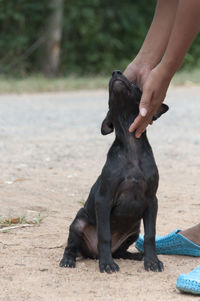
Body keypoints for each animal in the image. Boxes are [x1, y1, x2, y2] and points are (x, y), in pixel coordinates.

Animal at [60, 71, 168, 274]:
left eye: (136, 86)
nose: (116, 72)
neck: (131, 147)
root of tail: (92, 254)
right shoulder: (104, 199)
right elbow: (104, 235)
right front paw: (107, 264)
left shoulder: (152, 200)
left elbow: (151, 235)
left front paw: (152, 261)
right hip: (78, 223)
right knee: (72, 247)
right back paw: (69, 260)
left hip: (134, 231)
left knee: (121, 252)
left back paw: (137, 256)